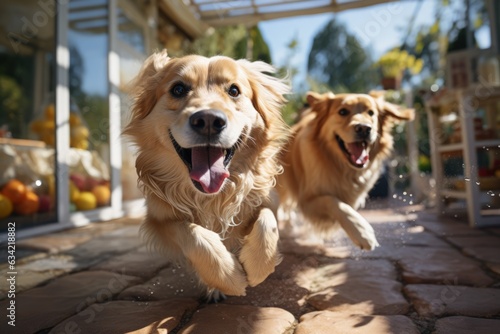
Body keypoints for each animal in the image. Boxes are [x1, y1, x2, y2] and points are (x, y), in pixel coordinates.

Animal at [123, 50, 292, 300]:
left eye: (234, 90)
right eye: (178, 89)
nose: (209, 121)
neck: (212, 196)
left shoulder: (266, 198)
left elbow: (266, 221)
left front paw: (258, 266)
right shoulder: (159, 218)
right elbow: (192, 234)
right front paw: (227, 277)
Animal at [274, 90, 414, 249]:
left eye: (371, 113)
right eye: (342, 112)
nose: (364, 128)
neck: (341, 167)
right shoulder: (307, 200)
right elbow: (332, 201)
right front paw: (361, 231)